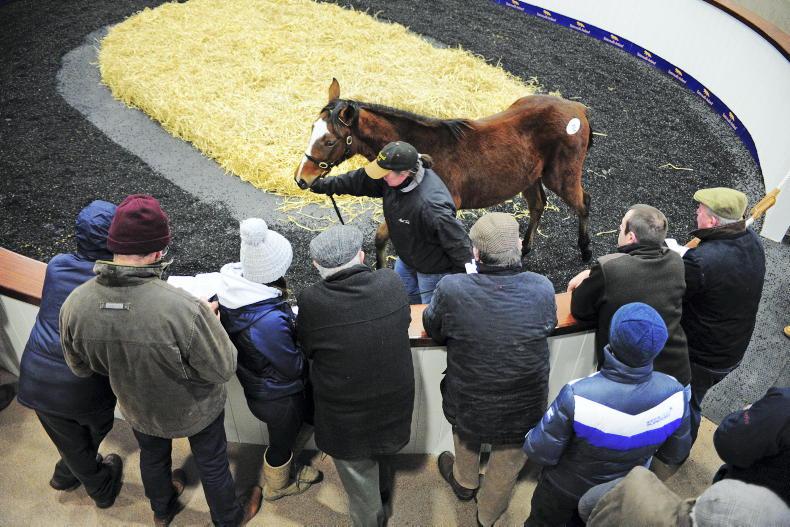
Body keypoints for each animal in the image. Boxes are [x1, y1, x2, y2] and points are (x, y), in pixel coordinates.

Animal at [294, 78, 593, 268]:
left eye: (329, 141)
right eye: (311, 128)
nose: (302, 178)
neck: (421, 152)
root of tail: (578, 109)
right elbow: (380, 236)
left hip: (561, 177)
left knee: (583, 203)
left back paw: (586, 250)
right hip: (529, 177)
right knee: (538, 205)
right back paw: (526, 247)